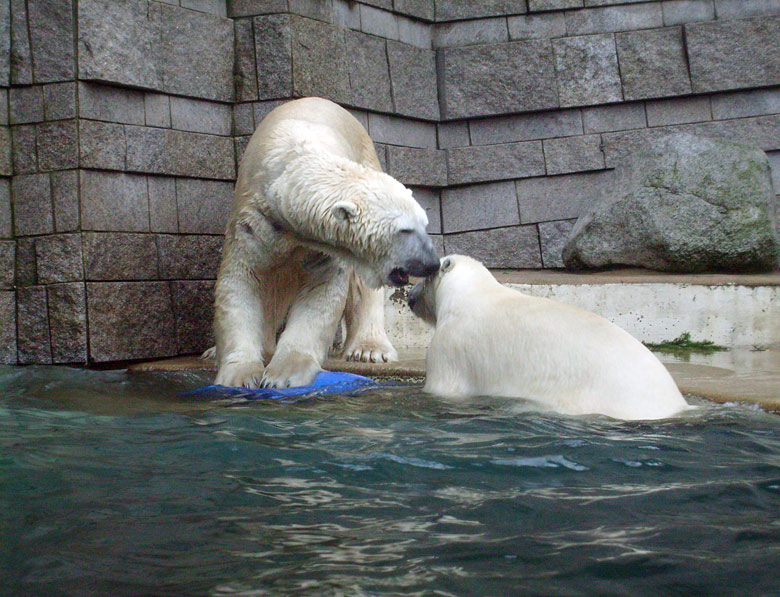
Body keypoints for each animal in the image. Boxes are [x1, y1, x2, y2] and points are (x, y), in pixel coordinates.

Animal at [213, 96, 438, 388]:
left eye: (424, 224)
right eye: (405, 230)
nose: (432, 263)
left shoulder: (323, 248)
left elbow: (321, 292)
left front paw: (283, 374)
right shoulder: (252, 220)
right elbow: (241, 282)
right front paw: (240, 376)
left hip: (368, 156)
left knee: (363, 287)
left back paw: (369, 349)